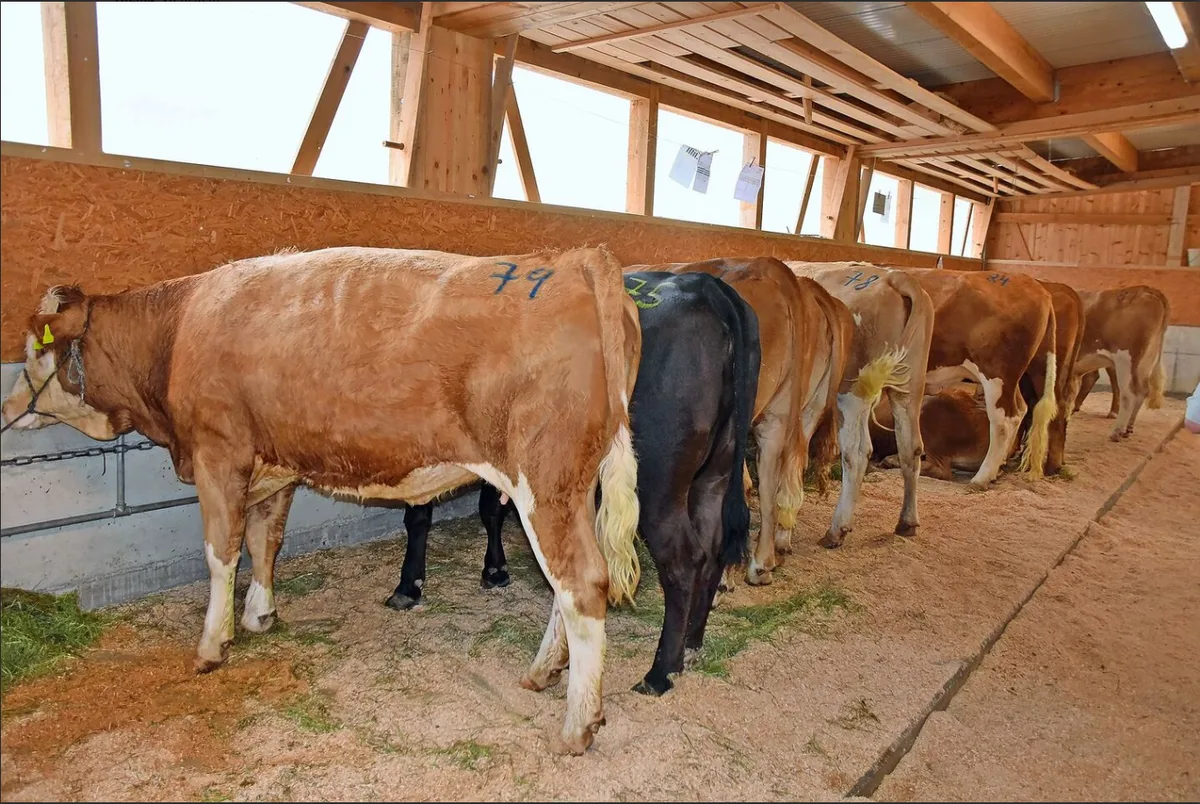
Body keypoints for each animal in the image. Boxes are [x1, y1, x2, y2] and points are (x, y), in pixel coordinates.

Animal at [0, 246, 643, 756]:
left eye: (35, 349)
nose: (7, 410)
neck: (177, 329)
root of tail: (573, 260)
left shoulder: (218, 452)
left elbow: (220, 552)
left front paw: (212, 644)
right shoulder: (275, 463)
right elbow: (266, 538)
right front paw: (259, 614)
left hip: (544, 480)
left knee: (581, 582)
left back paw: (577, 725)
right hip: (574, 486)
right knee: (569, 585)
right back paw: (542, 672)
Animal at [386, 271, 761, 696]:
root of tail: (705, 285)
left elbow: (421, 514)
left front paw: (409, 585)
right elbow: (489, 508)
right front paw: (494, 570)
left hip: (657, 480)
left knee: (685, 560)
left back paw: (660, 672)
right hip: (716, 470)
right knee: (713, 548)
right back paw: (693, 644)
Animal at [785, 261, 932, 547]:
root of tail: (893, 277)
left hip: (852, 389)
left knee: (856, 451)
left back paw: (836, 530)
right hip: (909, 387)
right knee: (911, 447)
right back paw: (907, 521)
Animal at [905, 269, 1059, 487]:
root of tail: (1037, 287)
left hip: (996, 372)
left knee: (1003, 420)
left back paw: (982, 477)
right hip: (1010, 379)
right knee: (1020, 410)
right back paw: (998, 468)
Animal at [1068, 286, 1169, 440]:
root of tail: (1144, 289)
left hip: (1125, 359)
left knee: (1128, 393)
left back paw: (1116, 431)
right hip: (1145, 360)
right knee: (1142, 390)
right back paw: (1128, 429)